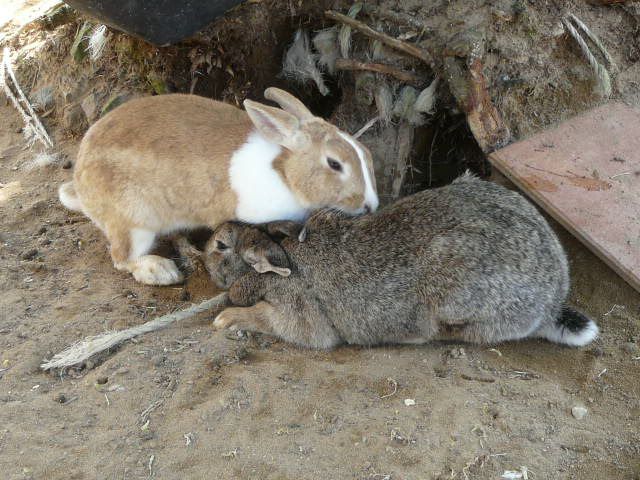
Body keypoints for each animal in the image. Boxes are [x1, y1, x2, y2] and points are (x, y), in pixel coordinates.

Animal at [57, 87, 378, 284]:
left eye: (365, 152)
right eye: (334, 164)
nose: (370, 205)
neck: (285, 173)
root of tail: (81, 186)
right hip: (135, 223)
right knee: (121, 258)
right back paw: (161, 271)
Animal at [205, 172, 600, 348]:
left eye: (221, 246)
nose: (205, 258)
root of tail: (551, 303)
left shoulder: (297, 310)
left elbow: (271, 319)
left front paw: (226, 319)